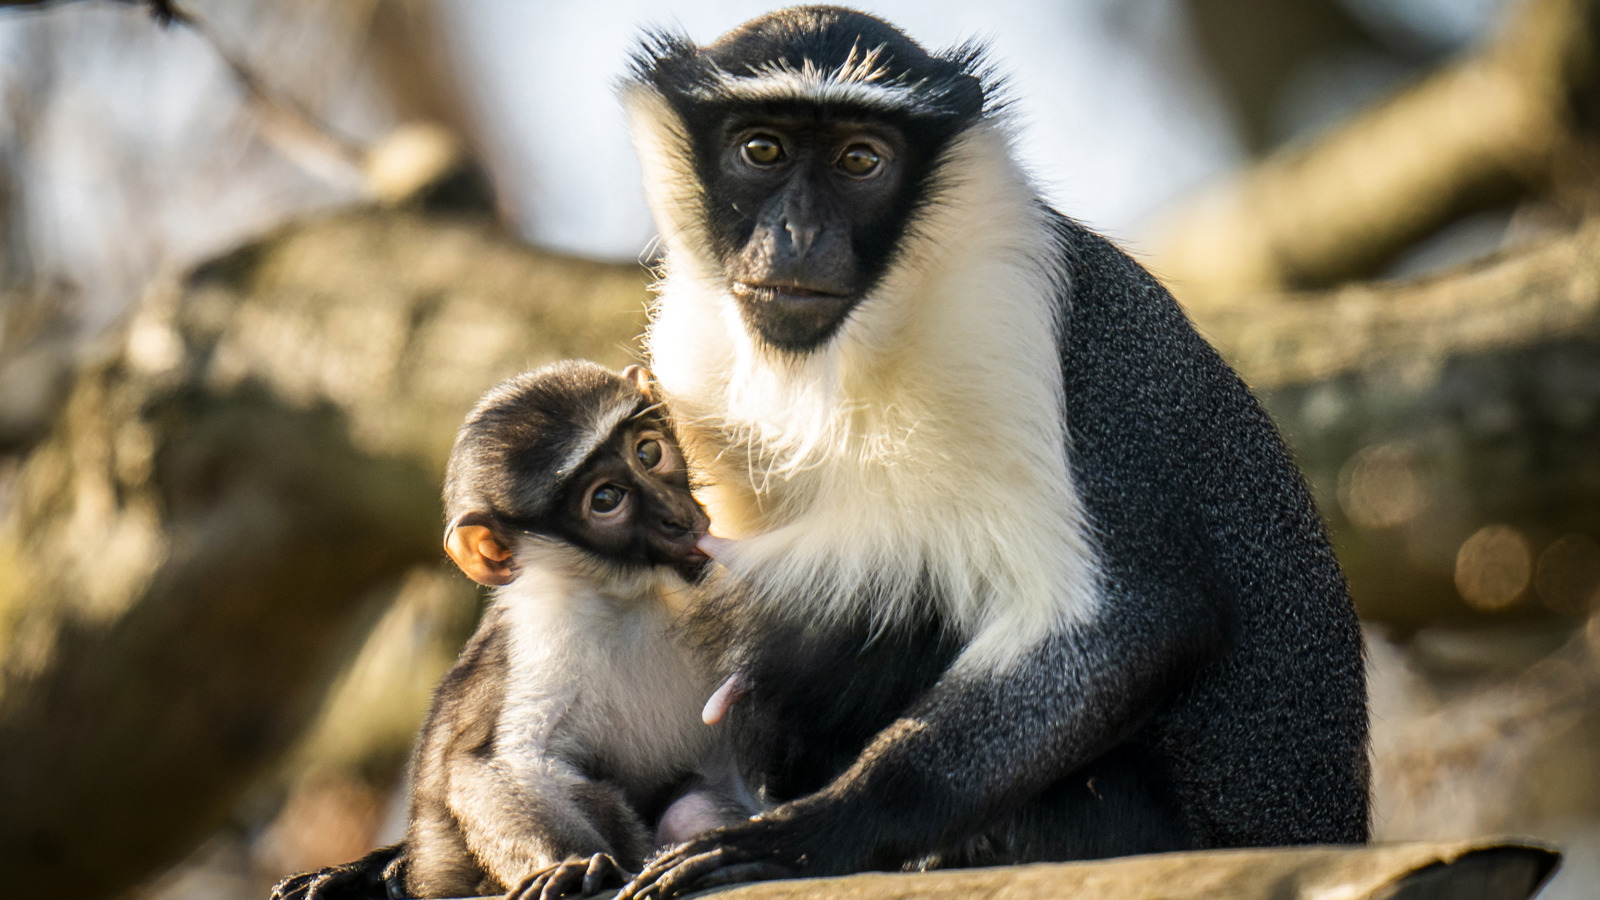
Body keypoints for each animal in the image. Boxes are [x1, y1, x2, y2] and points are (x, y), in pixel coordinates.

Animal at [270, 361, 756, 900]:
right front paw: (574, 864)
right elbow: (496, 763)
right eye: (606, 498)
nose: (677, 516)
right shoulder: (539, 636)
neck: (641, 596)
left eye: (648, 453)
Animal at [614, 8, 1369, 898]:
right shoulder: (692, 355)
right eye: (761, 150)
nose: (797, 234)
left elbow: (1132, 620)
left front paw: (814, 833)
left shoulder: (1003, 304)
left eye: (861, 159)